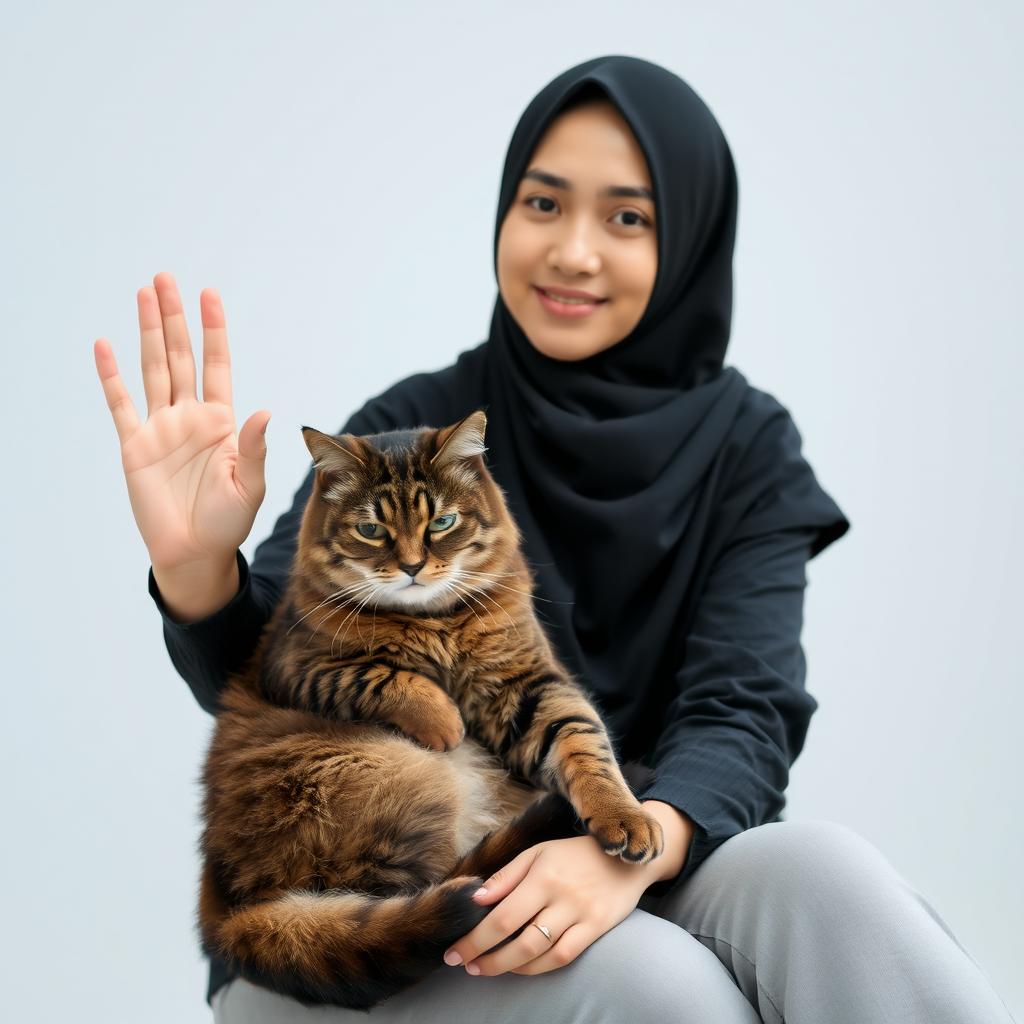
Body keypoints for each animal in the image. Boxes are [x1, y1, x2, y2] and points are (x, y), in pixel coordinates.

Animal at [197, 407, 663, 1007]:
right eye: (371, 530)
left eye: (441, 523)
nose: (414, 566)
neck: (434, 623)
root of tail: (226, 912)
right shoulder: (299, 666)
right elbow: (385, 677)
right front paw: (445, 721)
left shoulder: (526, 685)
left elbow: (583, 743)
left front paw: (625, 816)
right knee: (427, 883)